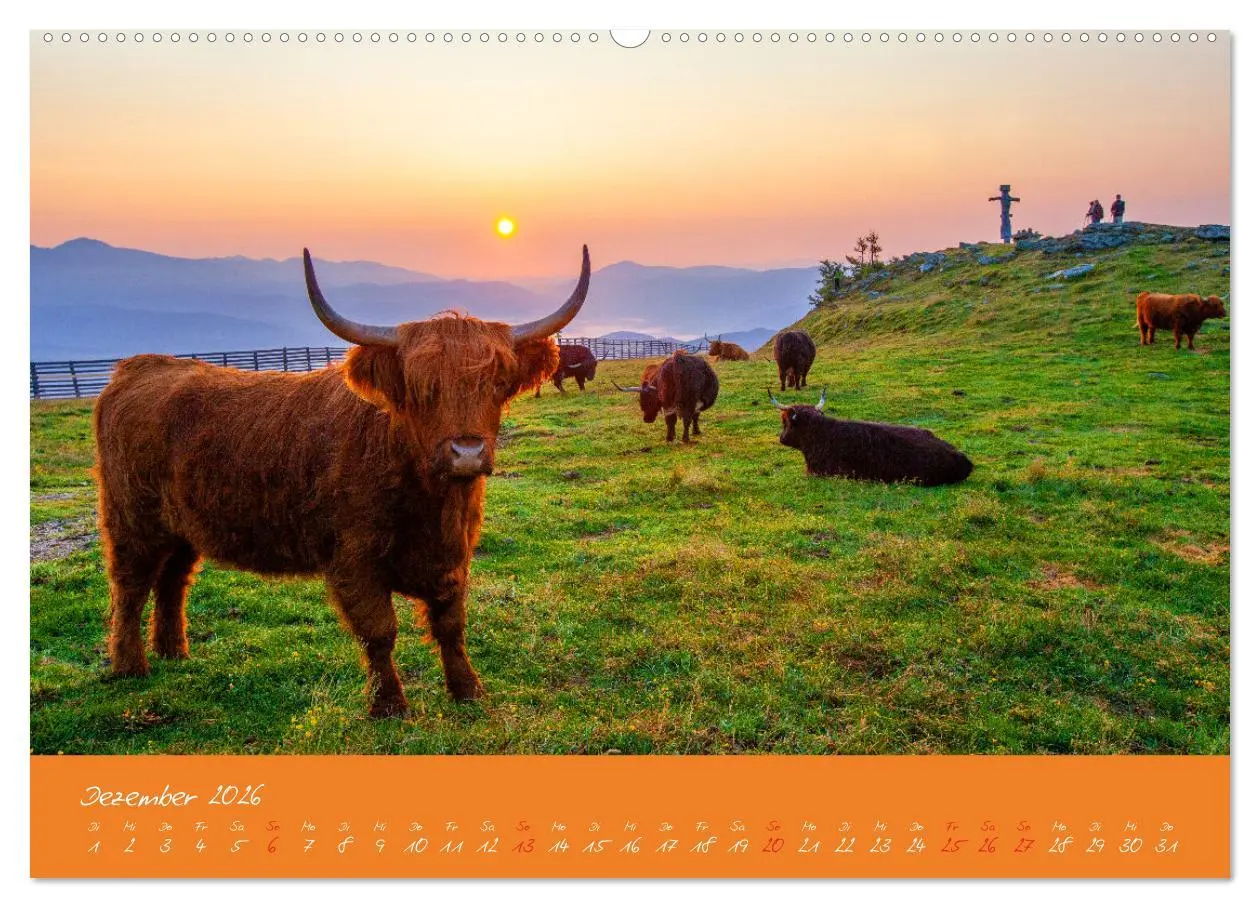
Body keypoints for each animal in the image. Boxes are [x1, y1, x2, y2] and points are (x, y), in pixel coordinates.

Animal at [93, 245, 590, 718]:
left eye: (498, 383)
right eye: (420, 388)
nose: (466, 452)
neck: (432, 503)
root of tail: (139, 367)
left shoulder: (454, 555)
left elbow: (450, 623)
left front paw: (468, 691)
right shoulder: (353, 559)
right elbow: (379, 631)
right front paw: (389, 705)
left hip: (181, 527)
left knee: (172, 581)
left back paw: (173, 651)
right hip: (132, 520)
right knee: (130, 586)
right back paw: (130, 666)